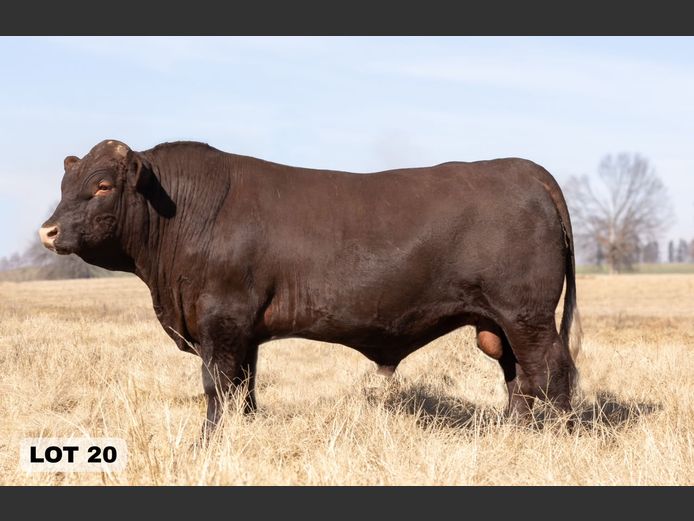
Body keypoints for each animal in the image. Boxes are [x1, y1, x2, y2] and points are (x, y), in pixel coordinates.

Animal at [39, 139, 580, 433]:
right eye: (65, 185)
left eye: (103, 185)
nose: (48, 230)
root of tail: (523, 168)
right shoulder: (243, 331)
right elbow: (244, 388)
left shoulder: (220, 319)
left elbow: (216, 387)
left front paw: (207, 442)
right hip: (498, 322)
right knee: (518, 378)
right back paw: (511, 432)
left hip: (527, 315)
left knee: (550, 372)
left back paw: (553, 436)